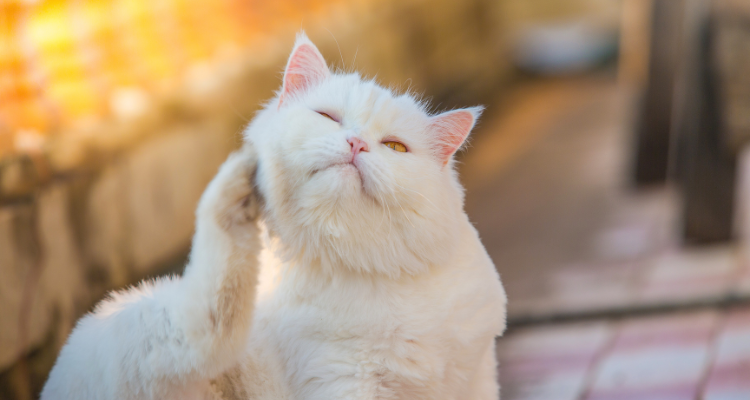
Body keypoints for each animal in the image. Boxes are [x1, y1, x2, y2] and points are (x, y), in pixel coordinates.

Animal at [42, 32, 512, 398]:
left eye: (394, 147)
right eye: (327, 117)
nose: (357, 144)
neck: (368, 274)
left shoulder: (478, 379)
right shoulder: (343, 381)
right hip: (158, 332)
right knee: (208, 312)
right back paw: (239, 177)